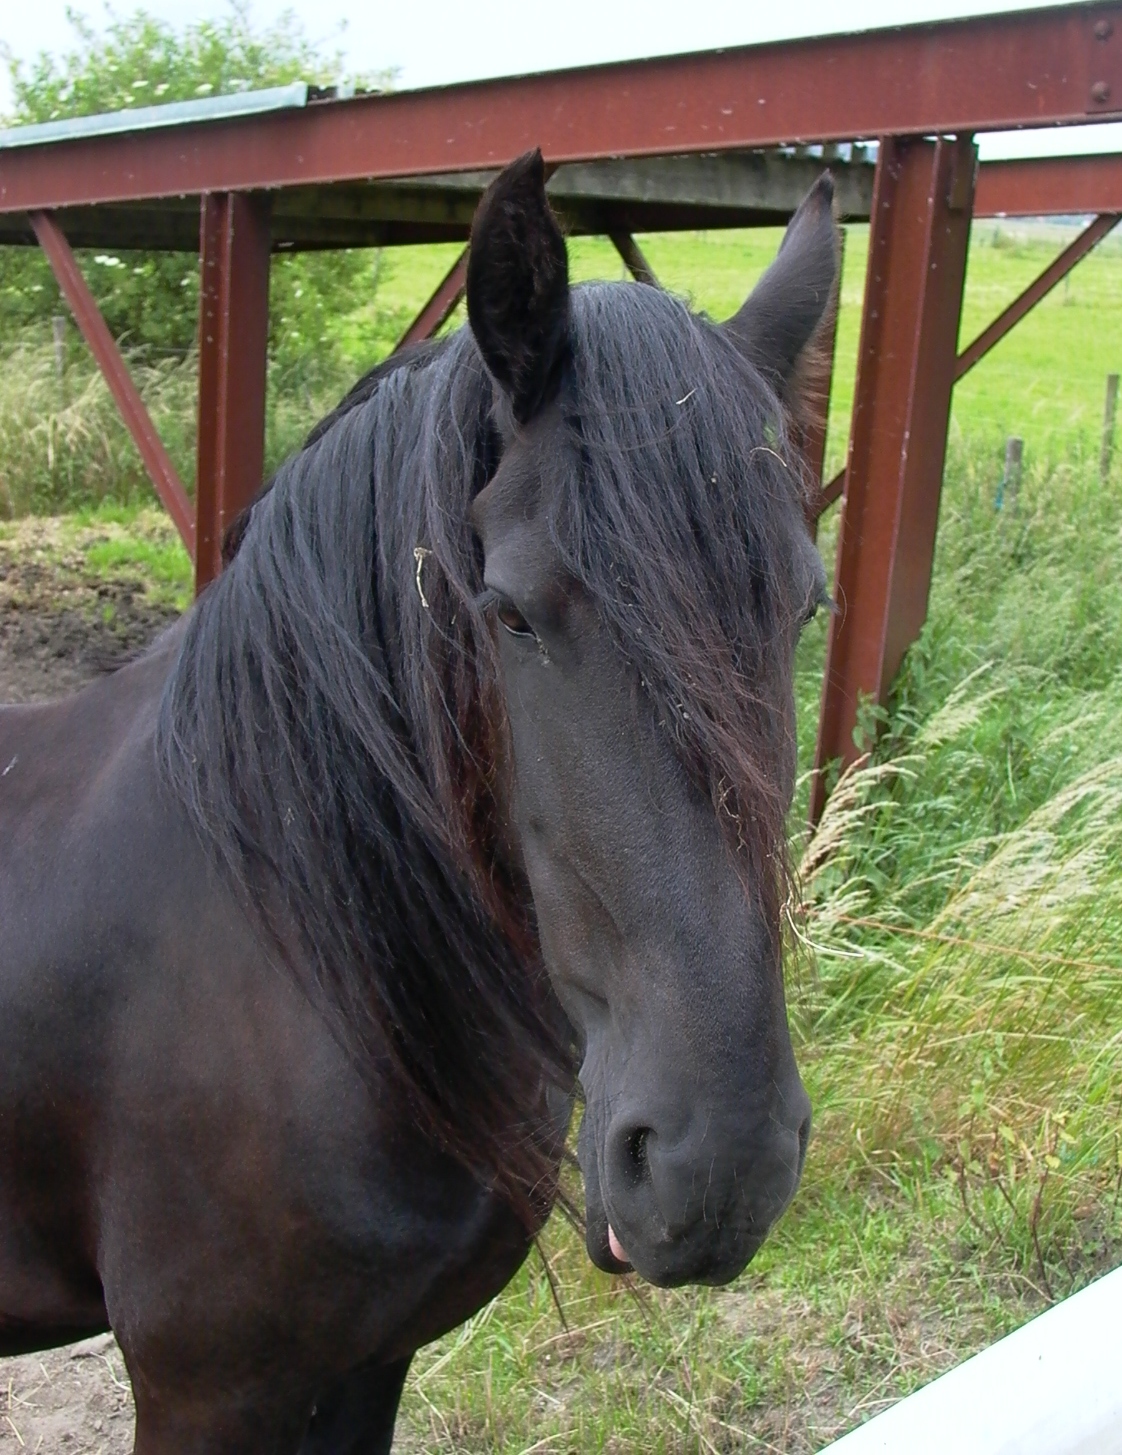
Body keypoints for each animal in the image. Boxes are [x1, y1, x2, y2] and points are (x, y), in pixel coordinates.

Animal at [0, 152, 837, 1452]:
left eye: (803, 606)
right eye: (512, 612)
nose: (720, 1167)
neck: (288, 950)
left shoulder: (368, 1361)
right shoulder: (203, 1388)